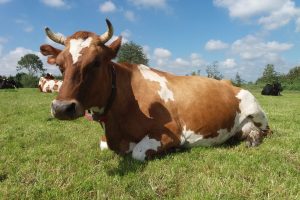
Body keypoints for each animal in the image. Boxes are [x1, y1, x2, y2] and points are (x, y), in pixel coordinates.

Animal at [40, 19, 272, 162]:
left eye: (96, 62)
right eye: (60, 65)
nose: (61, 108)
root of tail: (227, 82)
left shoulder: (172, 133)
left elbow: (138, 153)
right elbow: (102, 145)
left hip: (257, 111)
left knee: (265, 131)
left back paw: (255, 139)